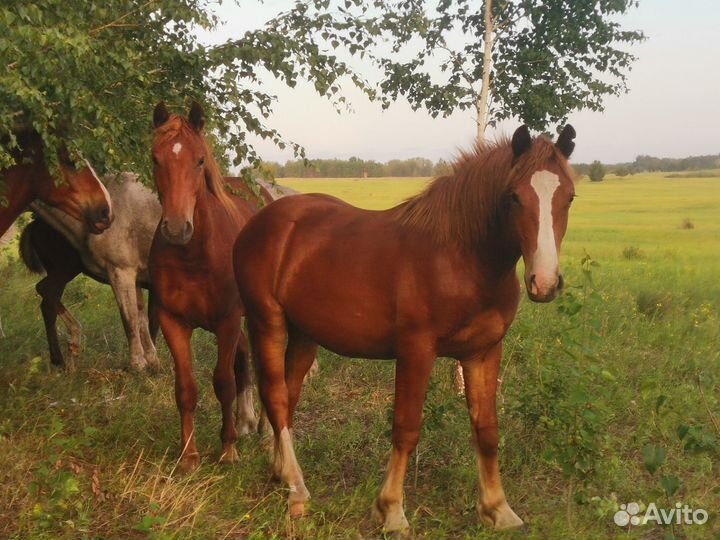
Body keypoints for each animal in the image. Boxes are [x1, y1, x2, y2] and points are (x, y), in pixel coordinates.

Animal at [19, 173, 161, 371]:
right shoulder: (126, 274)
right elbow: (135, 318)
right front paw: (143, 363)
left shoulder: (129, 274)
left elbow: (137, 318)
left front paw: (146, 363)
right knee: (47, 295)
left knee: (47, 296)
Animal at [149, 101, 275, 472]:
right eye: (155, 159)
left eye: (200, 160)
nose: (177, 229)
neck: (193, 256)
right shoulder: (172, 321)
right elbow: (186, 388)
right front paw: (188, 455)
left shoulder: (227, 321)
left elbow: (223, 382)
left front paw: (228, 448)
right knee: (245, 357)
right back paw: (247, 422)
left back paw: (264, 430)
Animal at [232, 125, 577, 532]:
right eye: (514, 197)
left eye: (569, 197)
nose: (544, 283)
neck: (459, 259)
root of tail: (261, 221)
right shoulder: (416, 351)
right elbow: (406, 427)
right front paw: (392, 510)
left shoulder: (483, 352)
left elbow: (487, 429)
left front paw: (497, 508)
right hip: (266, 322)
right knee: (275, 396)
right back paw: (297, 490)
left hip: (303, 335)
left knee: (288, 397)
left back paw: (281, 474)